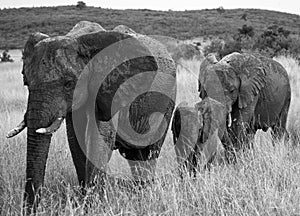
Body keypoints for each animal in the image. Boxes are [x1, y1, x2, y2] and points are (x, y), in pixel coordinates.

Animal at [6, 21, 176, 212]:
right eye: (26, 82)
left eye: (68, 84)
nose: (32, 210)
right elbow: (76, 143)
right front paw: (85, 202)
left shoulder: (110, 88)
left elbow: (98, 140)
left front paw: (93, 206)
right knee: (135, 156)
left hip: (167, 101)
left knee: (149, 152)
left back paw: (143, 195)